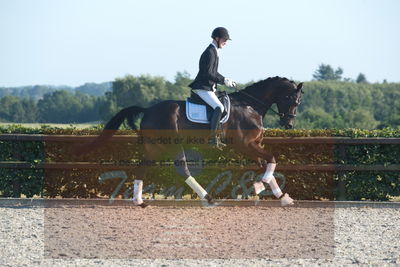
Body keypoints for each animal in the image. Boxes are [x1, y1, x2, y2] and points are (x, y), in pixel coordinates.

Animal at [77, 76, 304, 208]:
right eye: (292, 100)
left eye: (298, 102)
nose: (288, 124)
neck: (250, 106)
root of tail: (148, 110)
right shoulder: (245, 145)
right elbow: (271, 161)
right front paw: (259, 186)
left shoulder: (253, 146)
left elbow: (266, 165)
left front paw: (282, 196)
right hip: (173, 144)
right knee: (182, 168)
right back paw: (207, 197)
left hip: (155, 148)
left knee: (143, 167)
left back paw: (139, 201)